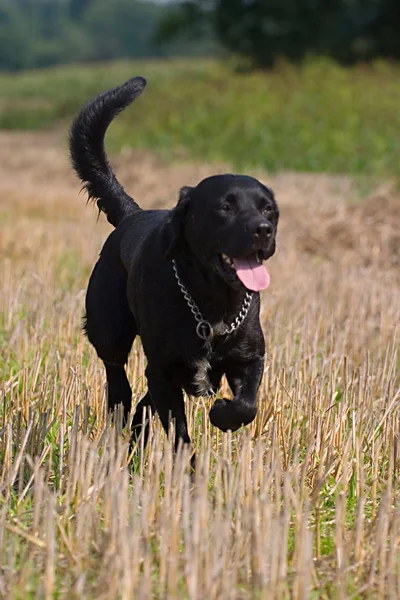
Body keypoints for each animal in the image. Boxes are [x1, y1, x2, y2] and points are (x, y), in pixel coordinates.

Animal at [69, 76, 278, 450]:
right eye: (225, 207)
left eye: (268, 208)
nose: (263, 230)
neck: (212, 305)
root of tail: (131, 215)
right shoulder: (163, 370)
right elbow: (180, 435)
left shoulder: (250, 357)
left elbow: (247, 405)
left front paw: (222, 414)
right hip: (109, 329)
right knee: (119, 383)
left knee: (142, 403)